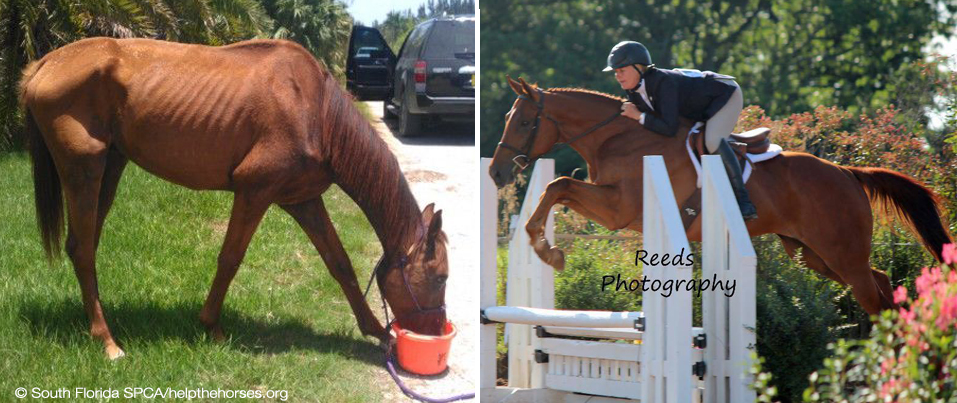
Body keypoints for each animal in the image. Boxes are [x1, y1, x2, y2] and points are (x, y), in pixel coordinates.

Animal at [19, 37, 448, 360]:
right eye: (441, 277)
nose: (433, 331)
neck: (318, 111)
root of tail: (44, 64)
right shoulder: (254, 190)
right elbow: (230, 259)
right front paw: (211, 326)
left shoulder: (303, 201)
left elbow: (339, 264)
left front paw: (375, 330)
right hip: (85, 171)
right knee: (83, 249)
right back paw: (107, 341)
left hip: (110, 167)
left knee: (83, 245)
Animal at [490, 77, 952, 318]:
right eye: (509, 118)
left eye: (525, 122)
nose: (496, 172)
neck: (617, 139)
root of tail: (848, 173)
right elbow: (558, 188)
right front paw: (544, 246)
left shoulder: (621, 210)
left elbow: (559, 185)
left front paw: (548, 251)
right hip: (815, 255)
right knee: (881, 283)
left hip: (841, 252)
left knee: (875, 297)